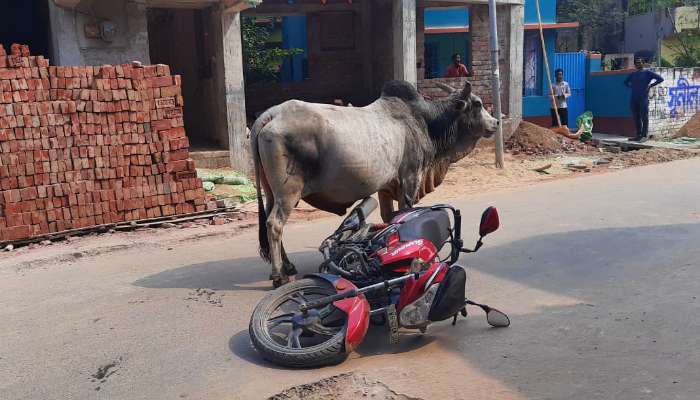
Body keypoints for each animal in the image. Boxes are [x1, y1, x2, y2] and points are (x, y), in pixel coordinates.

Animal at [252, 79, 498, 286]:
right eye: (477, 104)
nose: (495, 122)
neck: (427, 122)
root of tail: (271, 114)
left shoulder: (386, 188)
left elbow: (389, 218)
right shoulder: (410, 179)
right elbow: (406, 213)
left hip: (272, 191)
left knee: (271, 222)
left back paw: (288, 266)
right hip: (289, 192)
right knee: (274, 224)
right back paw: (278, 275)